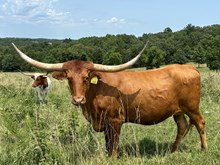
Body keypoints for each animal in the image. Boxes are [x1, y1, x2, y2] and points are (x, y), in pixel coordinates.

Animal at [12, 42, 208, 160]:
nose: (78, 99)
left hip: (192, 108)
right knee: (182, 126)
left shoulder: (115, 120)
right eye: (69, 78)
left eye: (86, 77)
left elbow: (113, 143)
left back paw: (204, 149)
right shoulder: (104, 122)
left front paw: (112, 158)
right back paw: (172, 152)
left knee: (200, 123)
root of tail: (189, 67)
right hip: (178, 111)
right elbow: (107, 143)